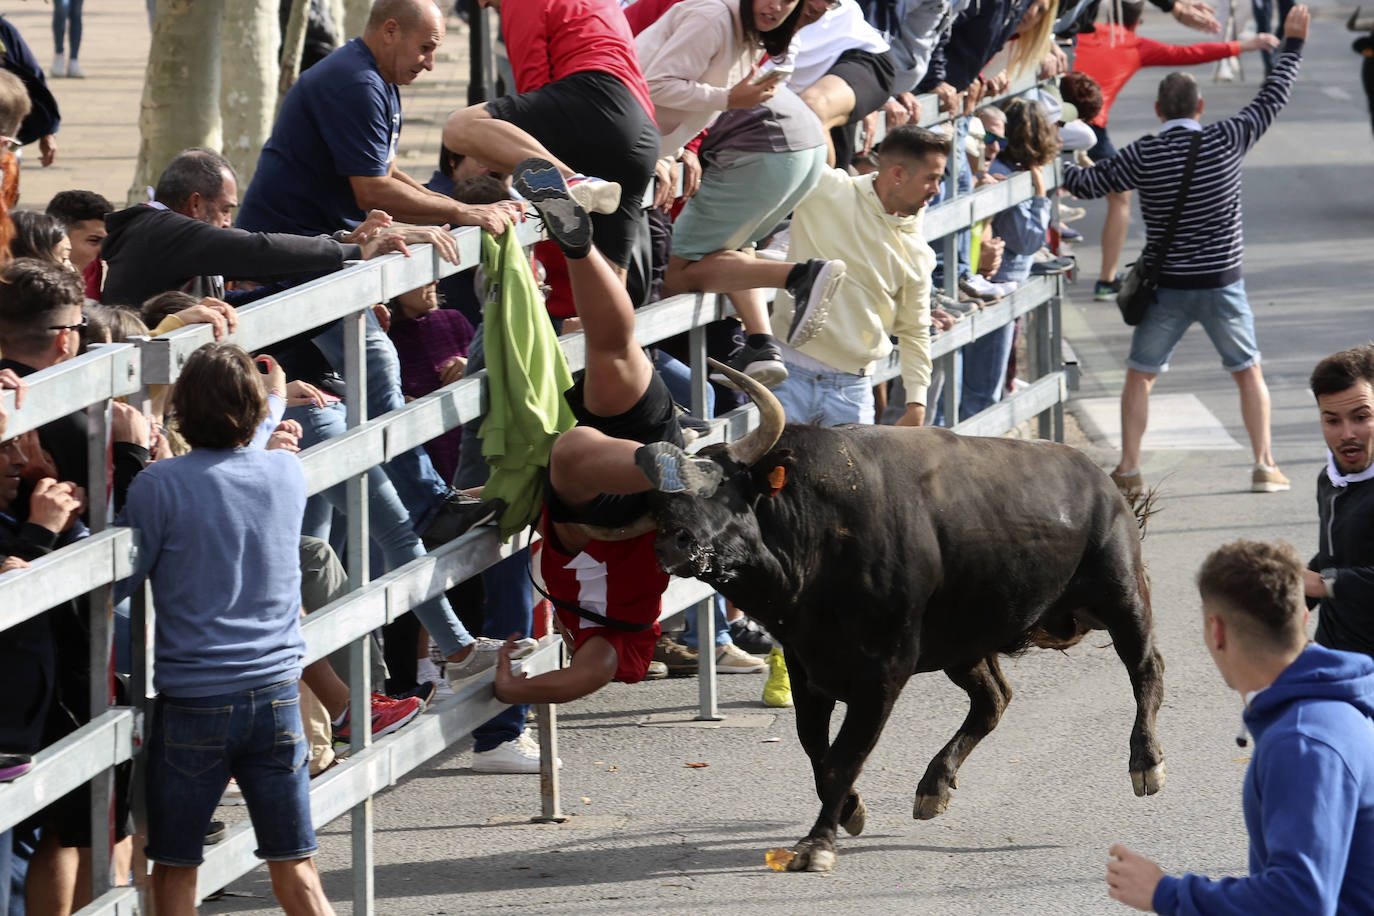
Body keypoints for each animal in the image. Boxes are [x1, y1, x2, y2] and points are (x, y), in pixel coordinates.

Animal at [640, 362, 1159, 867]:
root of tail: (1100, 480)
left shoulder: (883, 675)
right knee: (993, 700)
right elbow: (816, 749)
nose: (673, 542)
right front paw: (849, 810)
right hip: (966, 644)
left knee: (1146, 669)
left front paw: (818, 843)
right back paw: (933, 786)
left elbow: (843, 757)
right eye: (666, 500)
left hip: (1123, 598)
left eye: (720, 486)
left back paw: (1147, 764)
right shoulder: (808, 670)